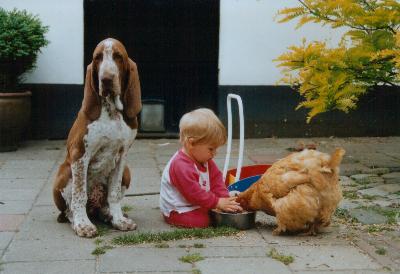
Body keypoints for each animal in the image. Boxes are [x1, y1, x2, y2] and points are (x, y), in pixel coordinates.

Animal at [53, 38, 141, 238]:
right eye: (97, 58)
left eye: (118, 56)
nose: (106, 79)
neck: (112, 111)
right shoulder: (80, 155)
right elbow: (79, 195)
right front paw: (83, 225)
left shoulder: (122, 155)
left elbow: (114, 193)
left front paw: (119, 219)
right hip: (65, 171)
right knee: (69, 209)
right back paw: (77, 220)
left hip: (127, 171)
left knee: (103, 204)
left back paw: (108, 214)